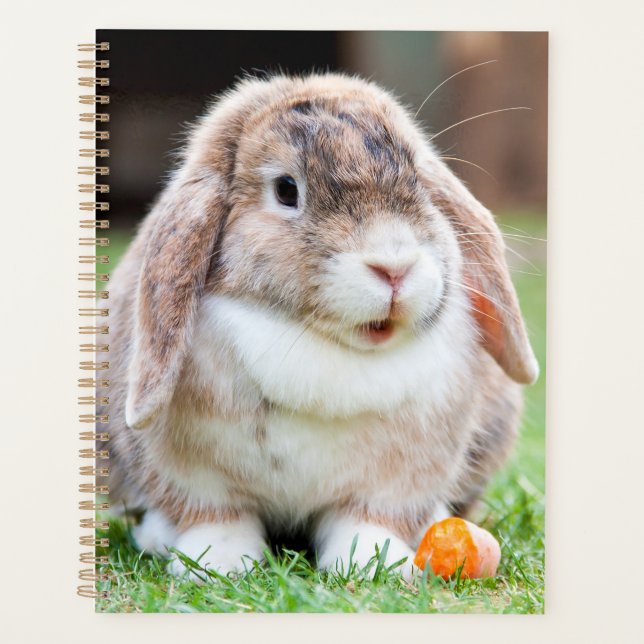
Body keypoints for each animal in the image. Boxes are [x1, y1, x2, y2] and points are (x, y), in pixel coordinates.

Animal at [99, 72, 538, 581]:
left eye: (419, 180)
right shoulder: (195, 478)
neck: (321, 344)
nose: (394, 267)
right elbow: (218, 518)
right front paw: (217, 565)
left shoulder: (393, 482)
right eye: (286, 190)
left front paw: (375, 565)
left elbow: (366, 521)